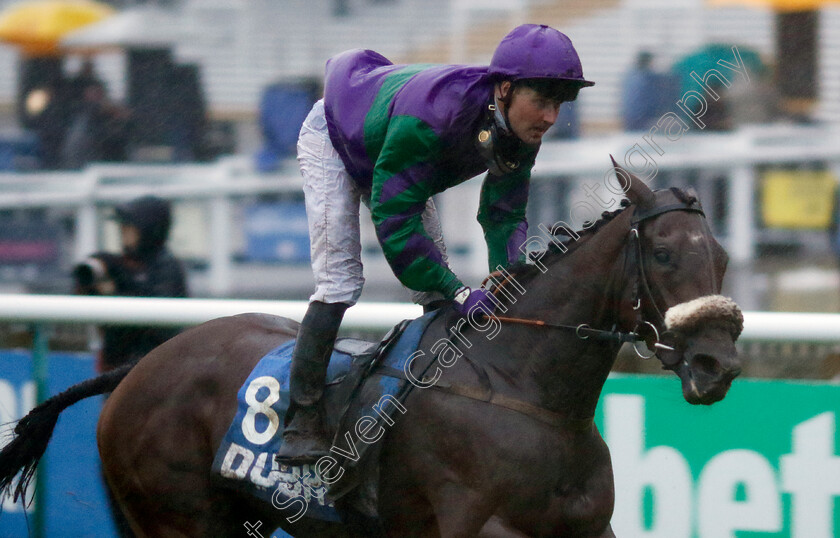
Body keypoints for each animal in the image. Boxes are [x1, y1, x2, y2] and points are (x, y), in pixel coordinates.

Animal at [3, 161, 744, 532]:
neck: (525, 392)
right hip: (179, 518)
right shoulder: (480, 527)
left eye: (724, 257)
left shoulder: (586, 529)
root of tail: (135, 370)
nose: (719, 363)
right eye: (666, 254)